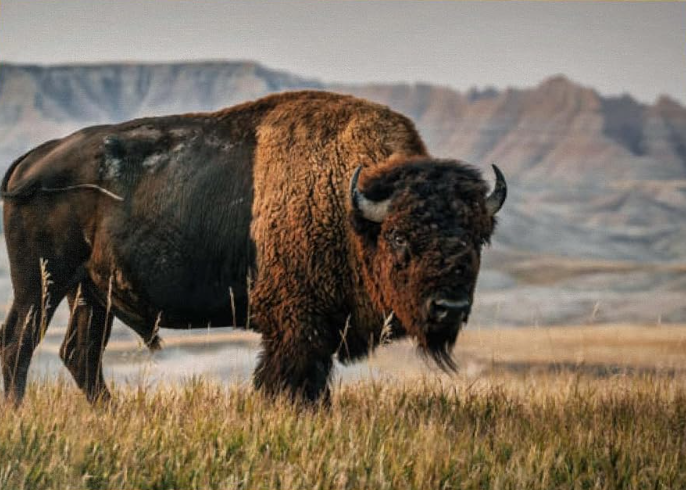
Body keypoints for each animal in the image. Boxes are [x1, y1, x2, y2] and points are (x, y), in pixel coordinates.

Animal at [0, 91, 506, 404]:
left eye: (477, 238)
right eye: (399, 237)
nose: (449, 307)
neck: (350, 205)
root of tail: (33, 159)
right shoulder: (298, 327)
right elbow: (291, 382)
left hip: (91, 293)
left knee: (79, 353)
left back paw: (112, 412)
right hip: (41, 283)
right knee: (20, 342)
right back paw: (20, 411)